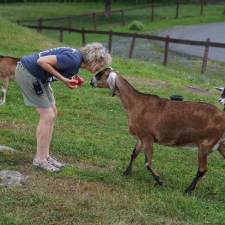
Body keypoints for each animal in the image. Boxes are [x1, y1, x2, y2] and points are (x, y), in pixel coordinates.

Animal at [90, 67, 225, 193]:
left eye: (100, 74)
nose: (91, 82)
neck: (136, 103)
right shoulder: (141, 137)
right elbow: (133, 154)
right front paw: (126, 173)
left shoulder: (147, 137)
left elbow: (147, 163)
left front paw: (160, 181)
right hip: (221, 144)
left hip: (205, 144)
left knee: (202, 169)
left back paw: (188, 190)